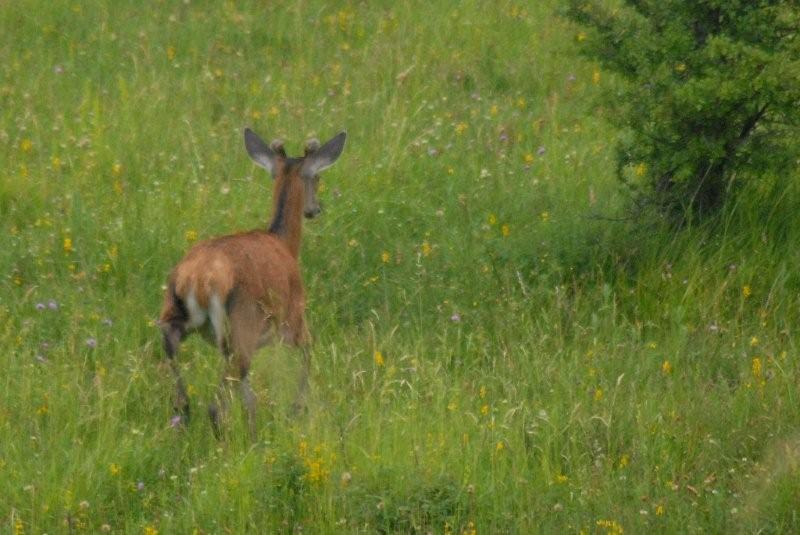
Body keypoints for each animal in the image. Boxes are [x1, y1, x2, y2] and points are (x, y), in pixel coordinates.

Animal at [158, 127, 346, 438]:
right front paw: (296, 409)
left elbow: (249, 398)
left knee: (181, 388)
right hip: (241, 325)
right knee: (216, 405)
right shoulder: (294, 319)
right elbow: (309, 353)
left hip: (175, 315)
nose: (315, 210)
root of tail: (199, 279)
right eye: (318, 177)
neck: (285, 244)